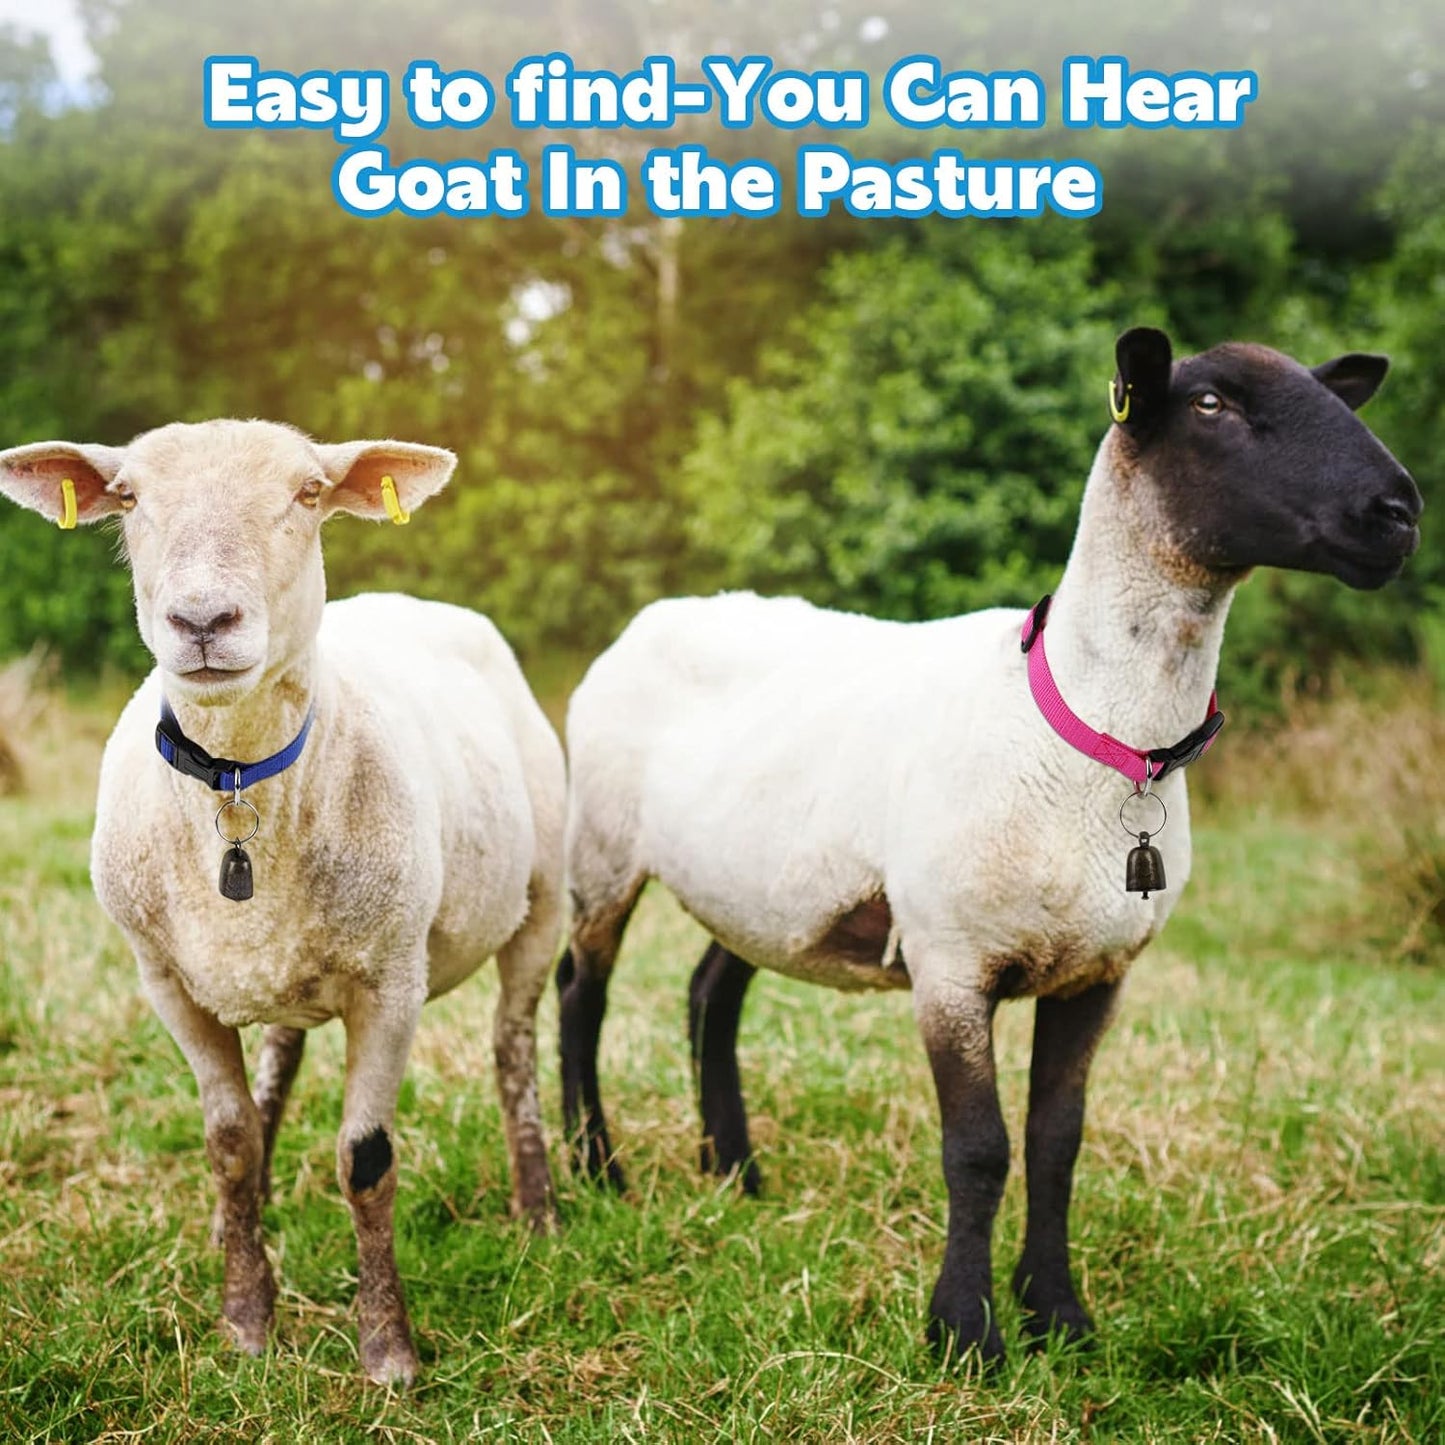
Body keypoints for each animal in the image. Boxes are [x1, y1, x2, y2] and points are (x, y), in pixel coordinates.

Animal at [0, 420, 565, 1386]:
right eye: (130, 497)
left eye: (308, 493)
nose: (202, 621)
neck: (236, 784)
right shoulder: (167, 982)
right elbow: (229, 1144)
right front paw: (245, 1319)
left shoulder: (393, 980)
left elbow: (365, 1160)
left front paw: (387, 1351)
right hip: (282, 966)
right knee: (282, 1058)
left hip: (547, 896)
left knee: (513, 1045)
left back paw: (538, 1209)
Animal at [556, 328, 1422, 1364]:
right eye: (1210, 404)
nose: (1398, 512)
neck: (1089, 730)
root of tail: (659, 613)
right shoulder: (950, 961)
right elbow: (979, 1148)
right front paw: (963, 1330)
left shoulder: (1097, 972)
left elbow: (1057, 1140)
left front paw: (1058, 1313)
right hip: (602, 845)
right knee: (582, 993)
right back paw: (594, 1168)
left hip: (759, 879)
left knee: (707, 994)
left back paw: (735, 1172)